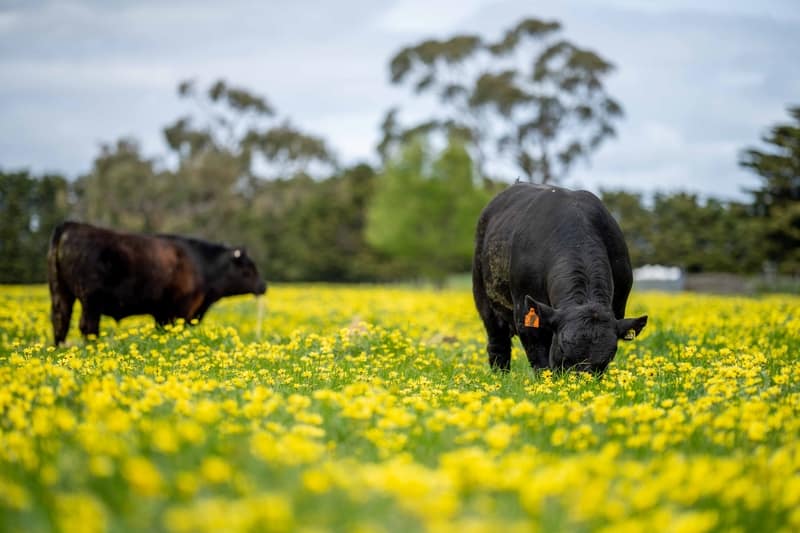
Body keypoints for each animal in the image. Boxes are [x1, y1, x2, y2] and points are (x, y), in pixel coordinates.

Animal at [47, 221, 267, 345]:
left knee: (60, 322)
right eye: (249, 269)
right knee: (87, 327)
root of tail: (71, 225)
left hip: (61, 293)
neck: (201, 263)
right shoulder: (180, 310)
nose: (263, 286)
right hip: (91, 301)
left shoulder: (162, 313)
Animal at [472, 183, 647, 374]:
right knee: (498, 343)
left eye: (609, 356)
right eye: (562, 349)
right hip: (484, 298)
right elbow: (540, 361)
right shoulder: (525, 313)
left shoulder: (618, 305)